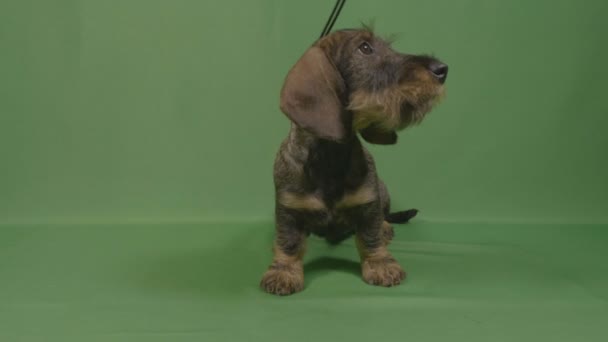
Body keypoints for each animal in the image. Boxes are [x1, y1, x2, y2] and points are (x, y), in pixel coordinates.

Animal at [260, 26, 446, 296]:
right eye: (365, 48)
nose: (442, 69)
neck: (329, 158)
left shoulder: (369, 204)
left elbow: (370, 237)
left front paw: (380, 264)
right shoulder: (288, 210)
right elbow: (289, 242)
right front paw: (283, 270)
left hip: (382, 189)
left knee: (384, 216)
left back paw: (385, 227)